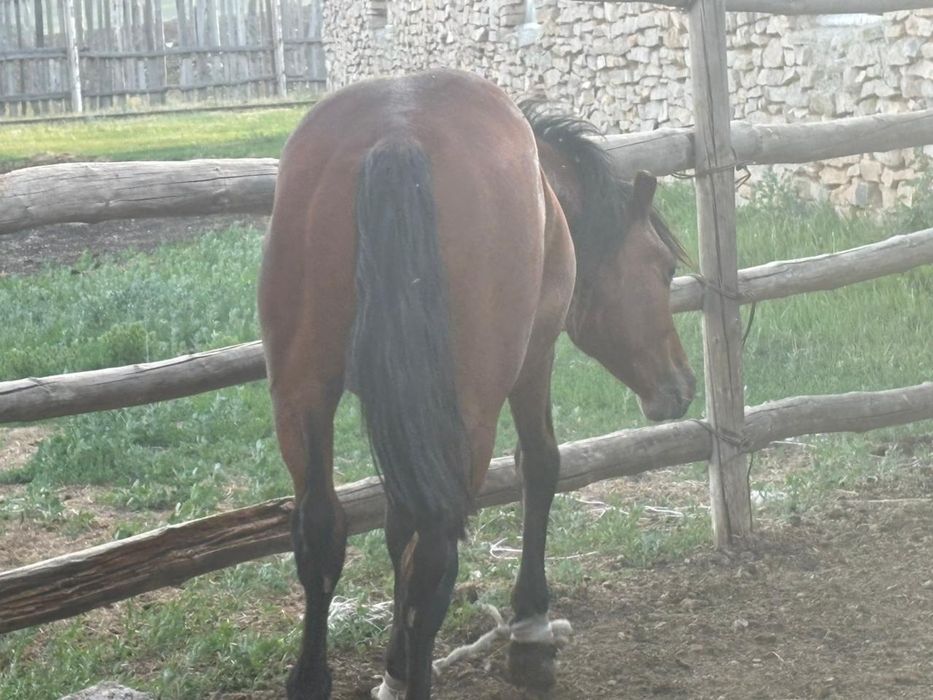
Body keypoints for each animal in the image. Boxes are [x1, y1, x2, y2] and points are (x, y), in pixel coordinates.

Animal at [258, 68, 695, 700]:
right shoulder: (536, 357)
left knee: (322, 529)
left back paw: (318, 678)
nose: (681, 385)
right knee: (438, 553)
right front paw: (530, 630)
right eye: (663, 267)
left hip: (302, 394)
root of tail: (397, 136)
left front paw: (393, 666)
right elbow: (540, 466)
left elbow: (398, 528)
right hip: (469, 410)